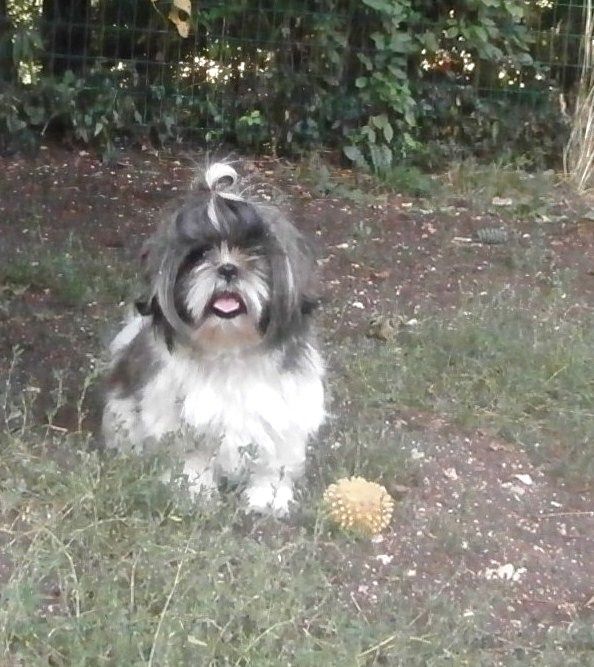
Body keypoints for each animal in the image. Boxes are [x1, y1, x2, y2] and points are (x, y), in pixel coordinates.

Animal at [102, 163, 324, 516]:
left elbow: (272, 462)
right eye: (201, 254)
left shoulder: (283, 411)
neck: (229, 346)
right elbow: (192, 460)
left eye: (253, 253)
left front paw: (268, 497)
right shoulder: (182, 418)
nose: (228, 268)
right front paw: (193, 492)